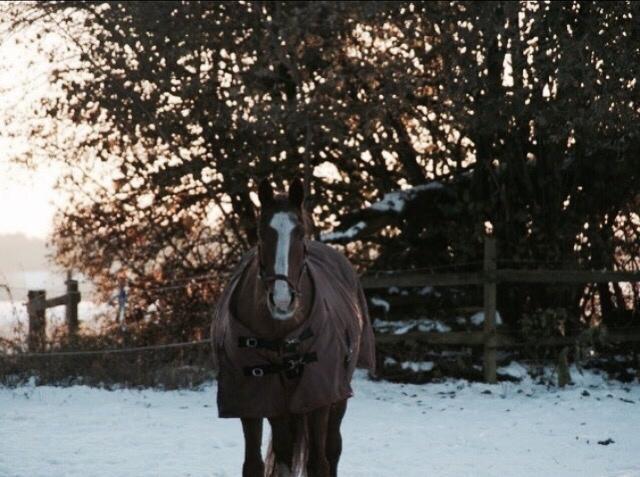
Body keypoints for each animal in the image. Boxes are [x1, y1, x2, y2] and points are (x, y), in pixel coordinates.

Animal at [212, 177, 378, 474]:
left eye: (300, 233)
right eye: (260, 233)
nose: (282, 299)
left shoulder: (317, 396)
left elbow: (319, 463)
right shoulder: (252, 399)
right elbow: (254, 464)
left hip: (336, 397)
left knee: (332, 449)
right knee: (285, 450)